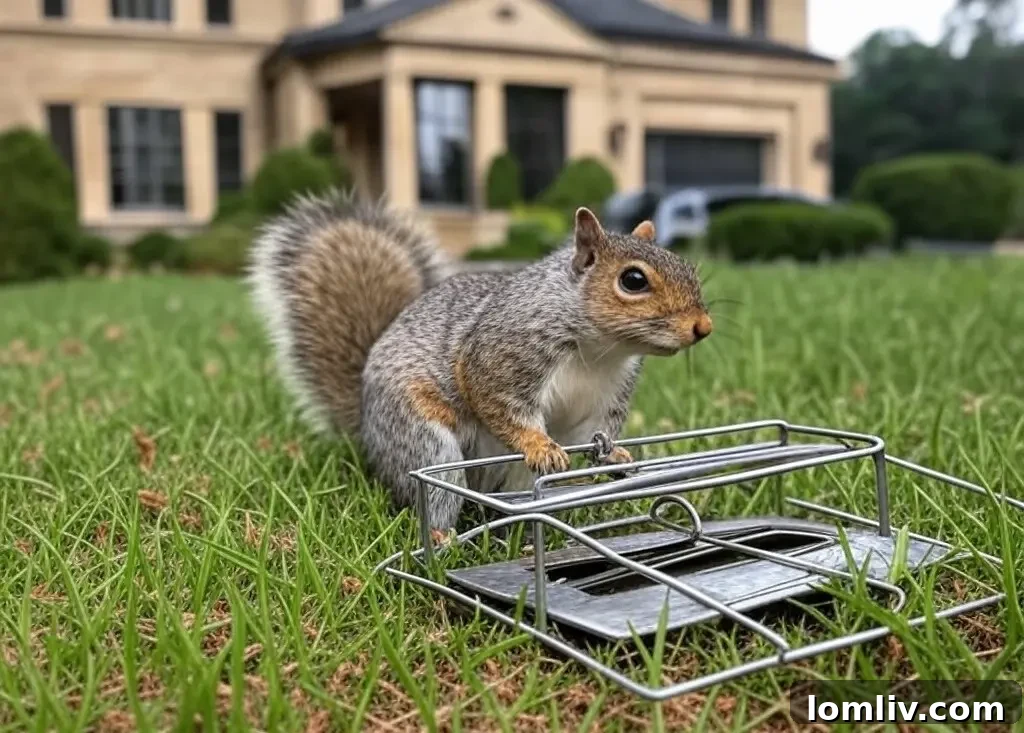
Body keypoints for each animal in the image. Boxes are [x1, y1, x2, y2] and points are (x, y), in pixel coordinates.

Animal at [248, 191, 712, 530]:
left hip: (515, 480)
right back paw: (443, 539)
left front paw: (615, 455)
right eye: (632, 280)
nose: (703, 327)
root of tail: (366, 428)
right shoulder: (502, 355)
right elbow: (497, 403)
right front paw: (540, 446)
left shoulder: (609, 394)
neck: (603, 349)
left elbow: (595, 433)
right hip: (422, 441)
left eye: (689, 268)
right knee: (438, 487)